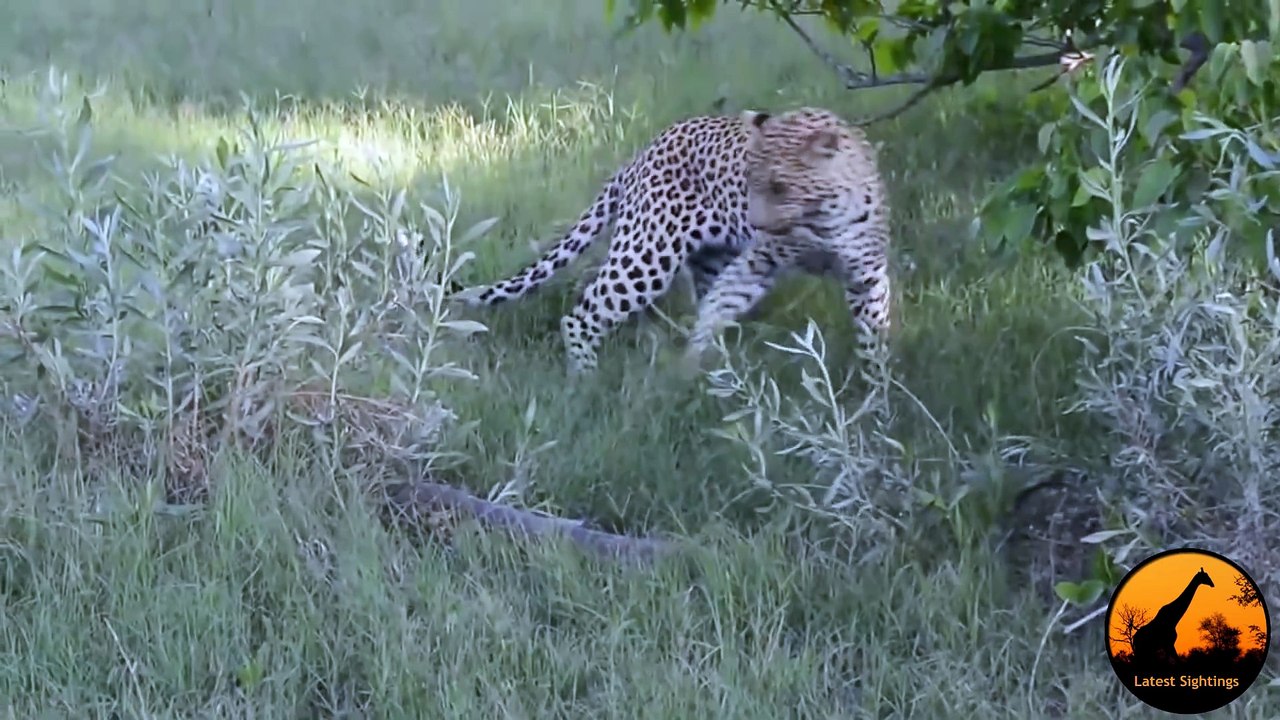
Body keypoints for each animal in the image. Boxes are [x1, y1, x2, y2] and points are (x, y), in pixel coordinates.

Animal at [456, 106, 891, 374]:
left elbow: (875, 337)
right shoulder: (758, 261)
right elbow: (718, 308)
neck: (822, 221)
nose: (755, 222)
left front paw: (877, 395)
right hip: (647, 253)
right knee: (581, 315)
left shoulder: (867, 277)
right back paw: (585, 378)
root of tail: (642, 154)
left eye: (781, 186)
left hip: (709, 257)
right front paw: (690, 365)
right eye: (749, 181)